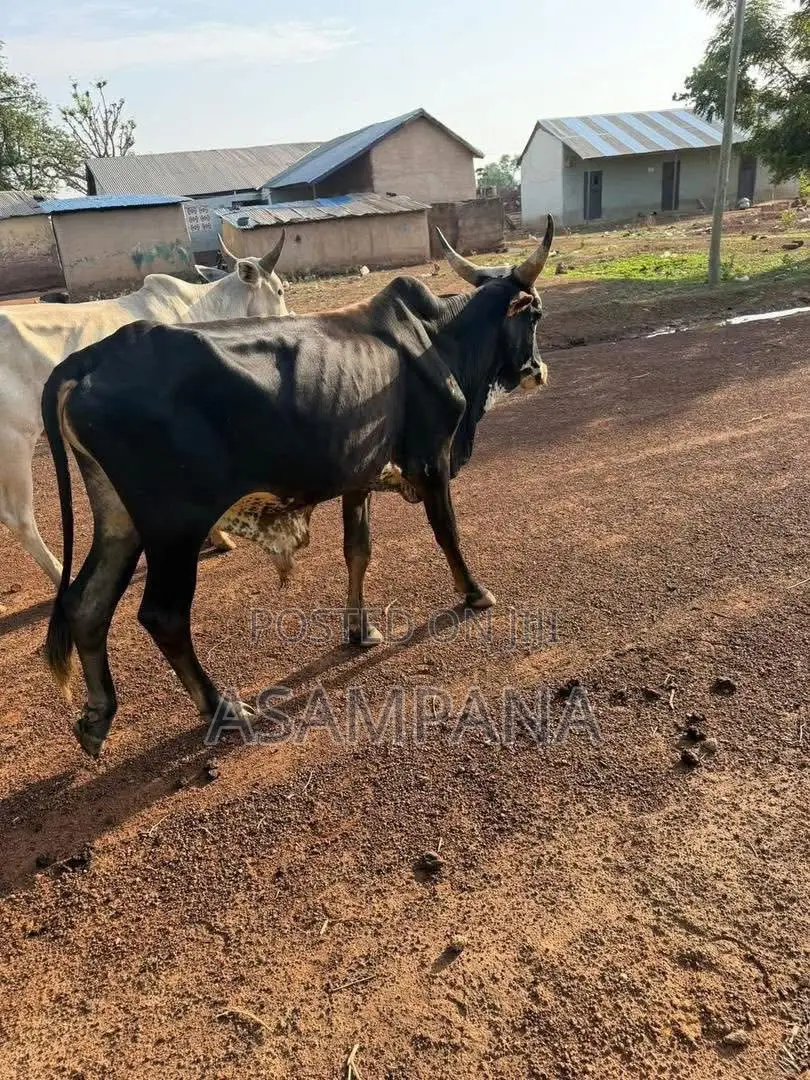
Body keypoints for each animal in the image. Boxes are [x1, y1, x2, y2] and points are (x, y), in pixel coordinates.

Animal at [42, 216, 555, 759]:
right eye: (536, 313)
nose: (538, 371)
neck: (439, 340)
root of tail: (93, 357)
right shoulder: (432, 459)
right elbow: (447, 533)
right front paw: (475, 593)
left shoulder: (360, 476)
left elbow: (358, 550)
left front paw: (359, 628)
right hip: (175, 526)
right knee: (163, 615)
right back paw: (222, 707)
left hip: (120, 518)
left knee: (86, 603)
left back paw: (97, 716)